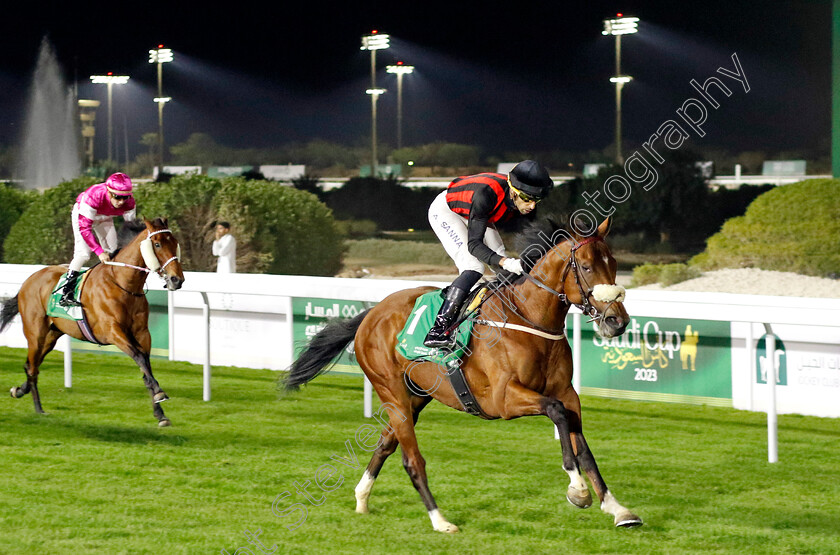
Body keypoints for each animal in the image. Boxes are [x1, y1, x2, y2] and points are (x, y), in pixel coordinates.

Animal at [0, 217, 185, 426]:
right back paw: (39, 409)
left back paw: (19, 391)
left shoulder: (142, 334)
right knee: (32, 366)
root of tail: (29, 280)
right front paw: (160, 392)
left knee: (32, 365)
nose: (177, 279)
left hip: (52, 334)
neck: (123, 284)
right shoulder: (112, 332)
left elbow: (145, 367)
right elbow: (139, 358)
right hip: (35, 333)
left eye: (175, 243)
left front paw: (160, 413)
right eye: (157, 244)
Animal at [284, 216, 644, 536]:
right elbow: (556, 413)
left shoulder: (567, 393)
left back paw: (362, 499)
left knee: (386, 443)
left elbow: (581, 442)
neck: (528, 318)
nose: (617, 321)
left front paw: (617, 508)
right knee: (412, 460)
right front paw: (578, 490)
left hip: (417, 396)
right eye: (586, 267)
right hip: (391, 391)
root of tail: (372, 313)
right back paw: (440, 521)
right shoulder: (504, 399)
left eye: (613, 264)